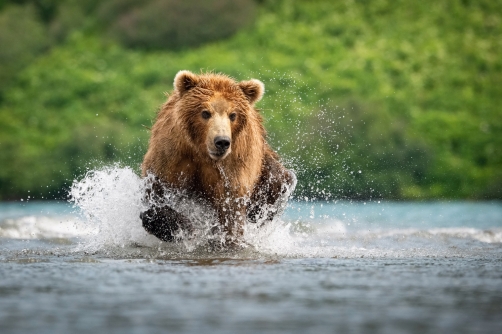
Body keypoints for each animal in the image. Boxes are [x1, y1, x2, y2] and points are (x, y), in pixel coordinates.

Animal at [139, 70, 296, 247]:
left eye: (233, 115)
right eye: (205, 112)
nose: (222, 141)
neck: (201, 152)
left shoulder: (232, 169)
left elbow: (230, 214)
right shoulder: (171, 155)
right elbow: (155, 196)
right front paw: (184, 226)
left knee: (280, 181)